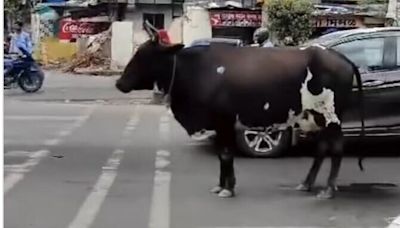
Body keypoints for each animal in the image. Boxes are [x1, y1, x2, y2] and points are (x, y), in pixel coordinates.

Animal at [116, 39, 366, 200]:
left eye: (144, 56)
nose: (119, 83)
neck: (195, 69)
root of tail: (342, 58)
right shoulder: (220, 125)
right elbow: (222, 155)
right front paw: (221, 186)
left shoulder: (224, 121)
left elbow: (226, 155)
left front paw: (228, 189)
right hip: (318, 117)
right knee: (322, 148)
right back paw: (306, 184)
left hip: (331, 116)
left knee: (336, 148)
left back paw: (329, 189)